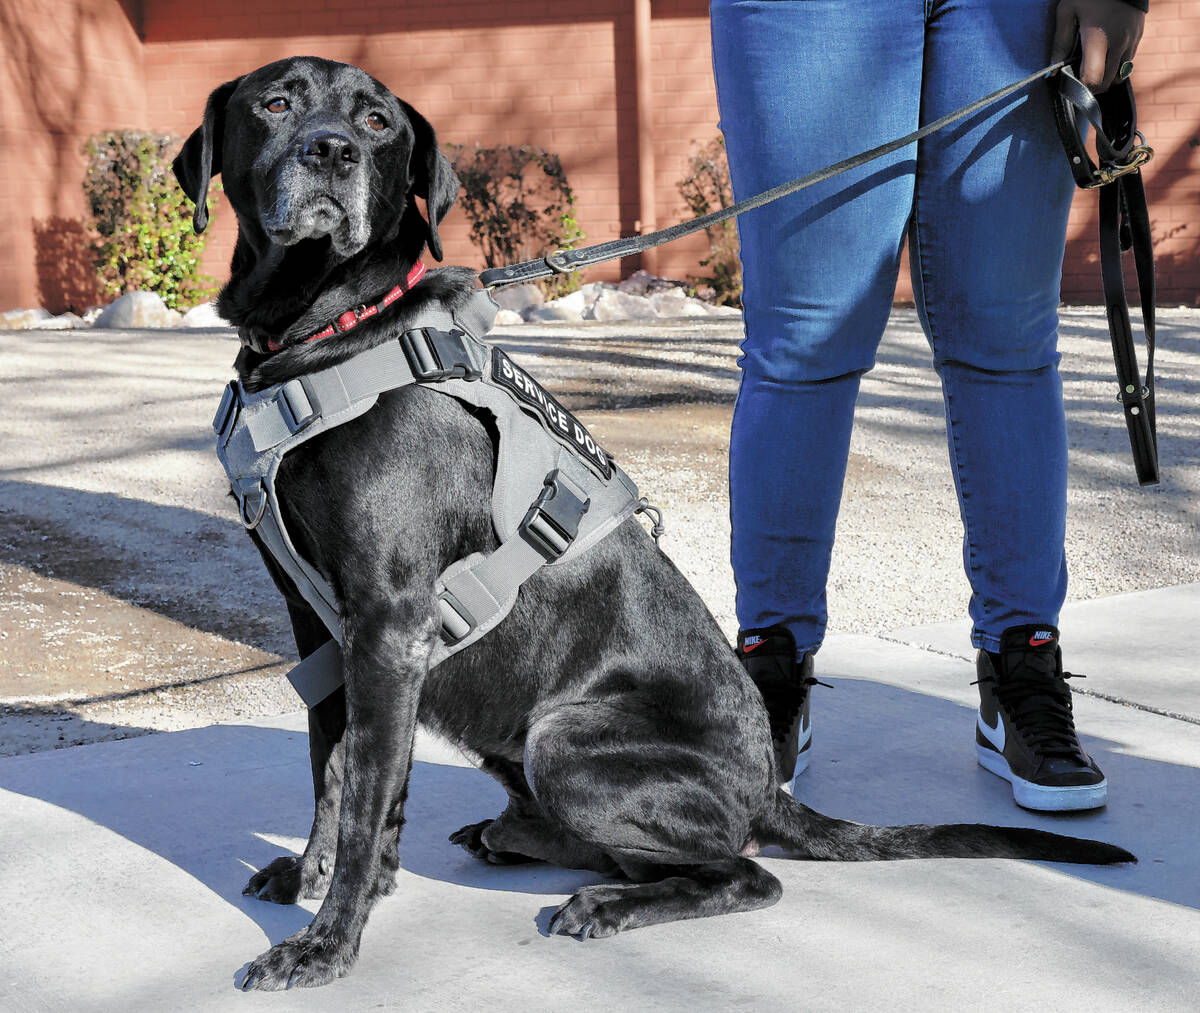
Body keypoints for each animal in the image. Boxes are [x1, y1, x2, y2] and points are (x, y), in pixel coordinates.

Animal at [174, 57, 1128, 988]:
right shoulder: (321, 626)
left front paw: (326, 943)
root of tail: (769, 788)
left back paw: (606, 901)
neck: (331, 328)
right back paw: (515, 836)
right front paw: (312, 879)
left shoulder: (388, 623)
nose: (331, 151)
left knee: (744, 870)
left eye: (377, 123)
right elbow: (331, 770)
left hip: (563, 736)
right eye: (276, 102)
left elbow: (367, 797)